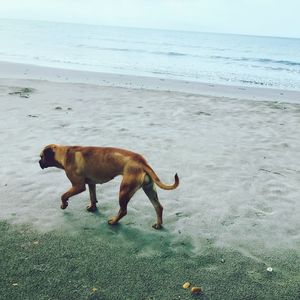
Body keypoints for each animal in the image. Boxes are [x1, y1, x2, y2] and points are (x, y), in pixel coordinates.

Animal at [39, 144, 178, 229]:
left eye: (41, 156)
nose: (39, 162)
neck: (64, 153)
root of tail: (142, 162)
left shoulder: (78, 186)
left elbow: (63, 195)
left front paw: (64, 204)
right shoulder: (91, 184)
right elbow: (92, 196)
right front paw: (93, 207)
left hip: (124, 191)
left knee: (123, 210)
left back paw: (114, 221)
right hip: (149, 189)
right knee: (158, 207)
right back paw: (158, 224)